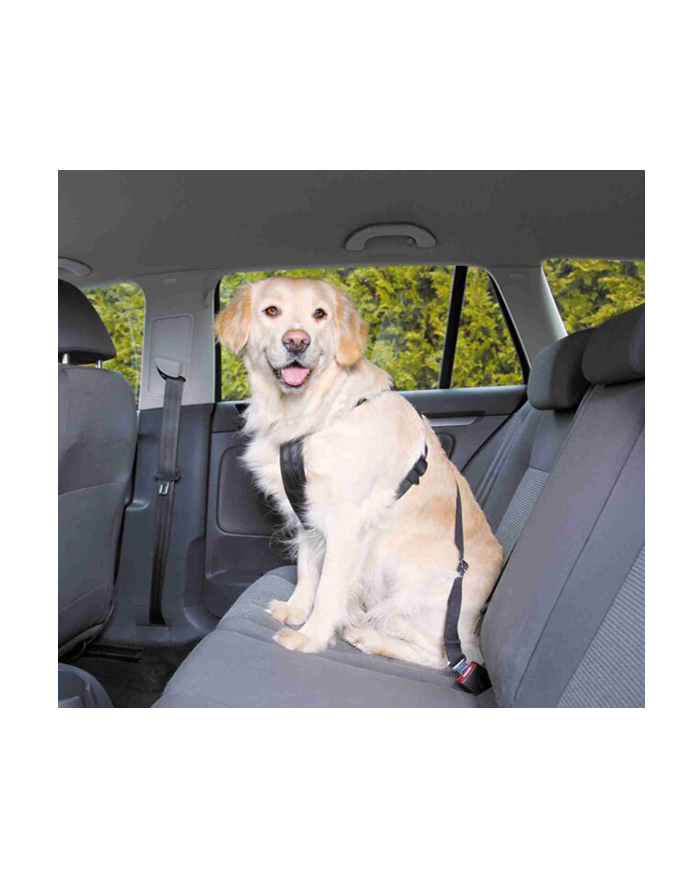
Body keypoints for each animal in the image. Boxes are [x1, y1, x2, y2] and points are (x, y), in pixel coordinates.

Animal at [216, 276, 503, 668]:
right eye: (271, 311)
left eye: (319, 314)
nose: (297, 341)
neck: (314, 414)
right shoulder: (308, 514)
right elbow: (308, 570)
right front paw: (296, 610)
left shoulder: (348, 524)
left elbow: (329, 589)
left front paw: (310, 637)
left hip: (410, 581)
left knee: (437, 655)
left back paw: (368, 637)